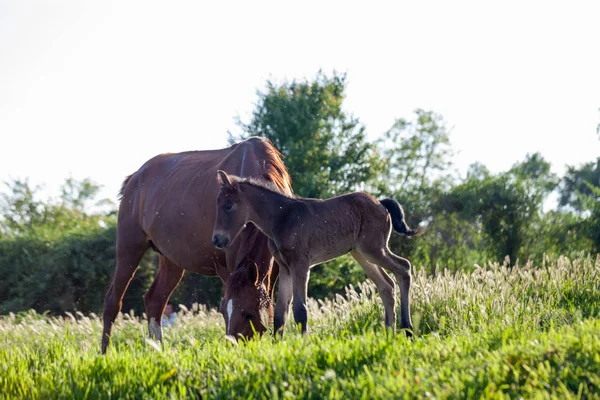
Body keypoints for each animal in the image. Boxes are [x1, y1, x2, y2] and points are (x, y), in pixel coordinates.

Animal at [101, 138, 292, 354]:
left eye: (248, 314)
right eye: (223, 312)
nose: (234, 346)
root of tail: (134, 178)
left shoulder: (278, 266)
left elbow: (278, 310)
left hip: (171, 260)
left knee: (155, 300)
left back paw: (159, 350)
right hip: (129, 248)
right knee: (113, 301)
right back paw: (105, 352)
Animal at [213, 170, 420, 340]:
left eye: (228, 206)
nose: (217, 240)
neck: (282, 218)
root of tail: (381, 203)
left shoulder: (301, 264)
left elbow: (300, 310)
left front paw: (304, 347)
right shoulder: (285, 267)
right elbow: (280, 313)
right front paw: (278, 348)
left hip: (374, 249)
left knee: (404, 268)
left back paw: (407, 330)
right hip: (361, 254)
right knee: (386, 285)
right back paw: (390, 333)